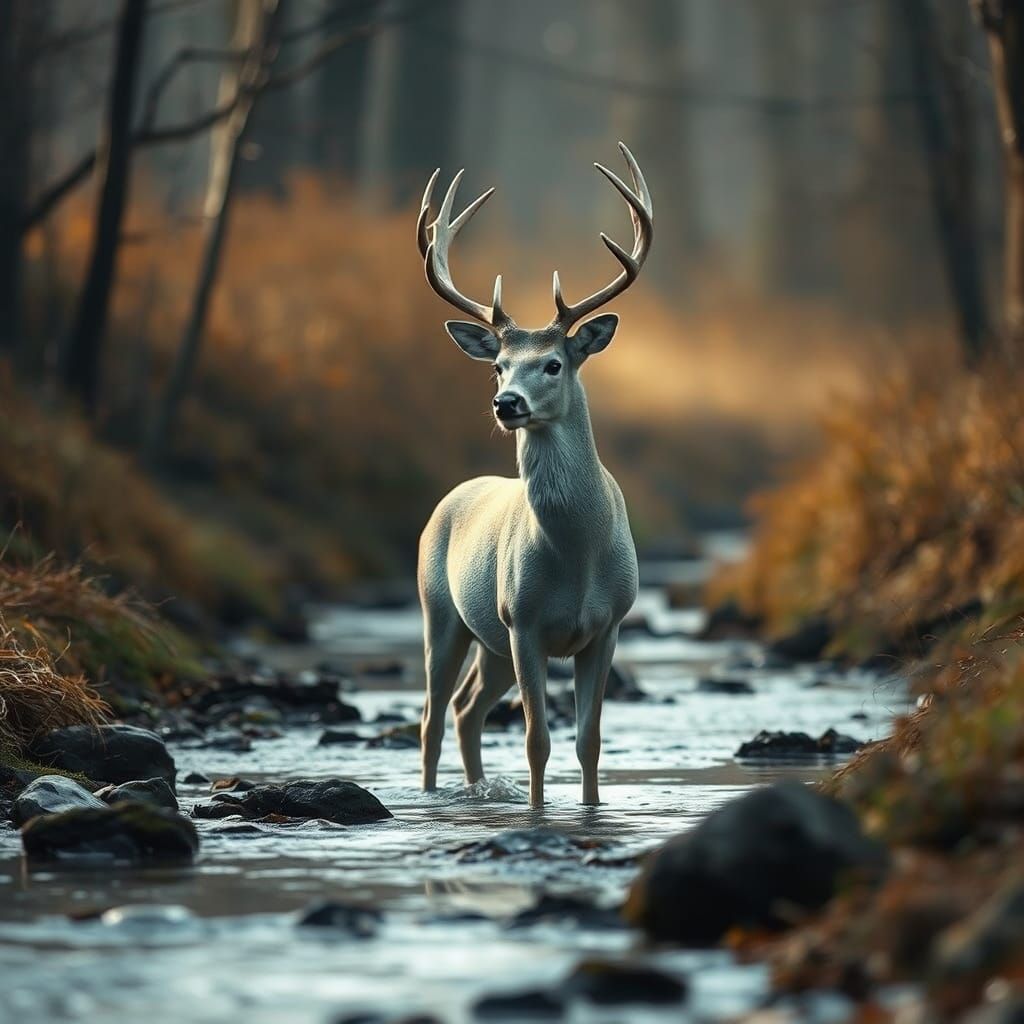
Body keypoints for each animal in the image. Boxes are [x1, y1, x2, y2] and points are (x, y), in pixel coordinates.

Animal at [416, 143, 653, 807]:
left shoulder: (609, 624)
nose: (507, 404)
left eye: (553, 363)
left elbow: (589, 741)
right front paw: (539, 812)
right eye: (497, 365)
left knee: (466, 708)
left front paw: (590, 809)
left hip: (490, 642)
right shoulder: (523, 621)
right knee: (433, 716)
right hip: (442, 613)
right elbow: (536, 741)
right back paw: (430, 796)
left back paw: (474, 790)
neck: (576, 552)